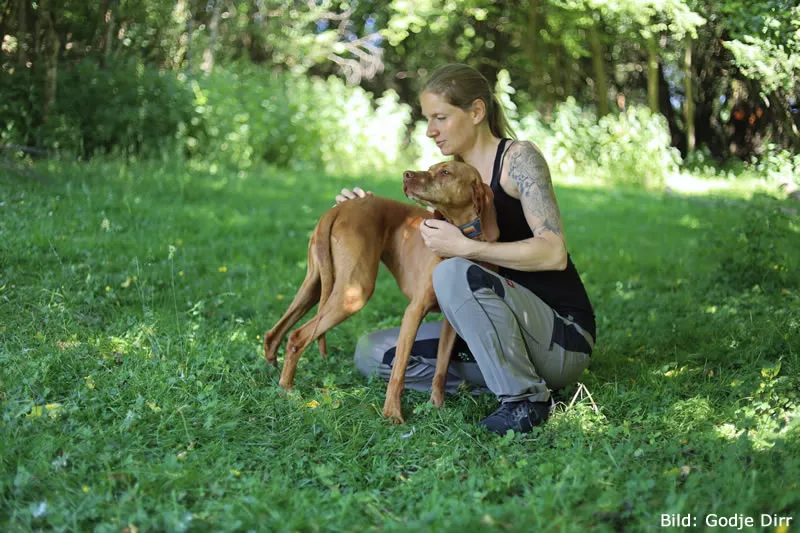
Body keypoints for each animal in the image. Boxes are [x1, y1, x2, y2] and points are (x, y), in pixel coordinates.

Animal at [262, 160, 496, 422]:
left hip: (317, 284)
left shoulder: (450, 323)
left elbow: (442, 368)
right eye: (431, 168)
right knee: (296, 336)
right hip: (353, 293)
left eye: (445, 172)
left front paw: (437, 406)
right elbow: (399, 369)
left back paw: (273, 372)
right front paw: (392, 413)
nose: (406, 174)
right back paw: (288, 389)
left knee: (275, 332)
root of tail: (340, 208)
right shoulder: (414, 311)